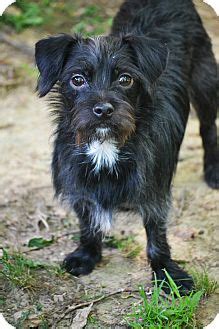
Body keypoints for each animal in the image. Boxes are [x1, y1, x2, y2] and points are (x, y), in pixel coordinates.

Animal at [35, 0, 218, 292]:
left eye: (125, 79)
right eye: (77, 79)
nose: (103, 110)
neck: (105, 146)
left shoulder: (154, 193)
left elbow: (156, 235)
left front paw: (167, 273)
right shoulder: (79, 185)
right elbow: (87, 221)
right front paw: (87, 254)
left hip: (206, 81)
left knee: (209, 129)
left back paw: (213, 171)